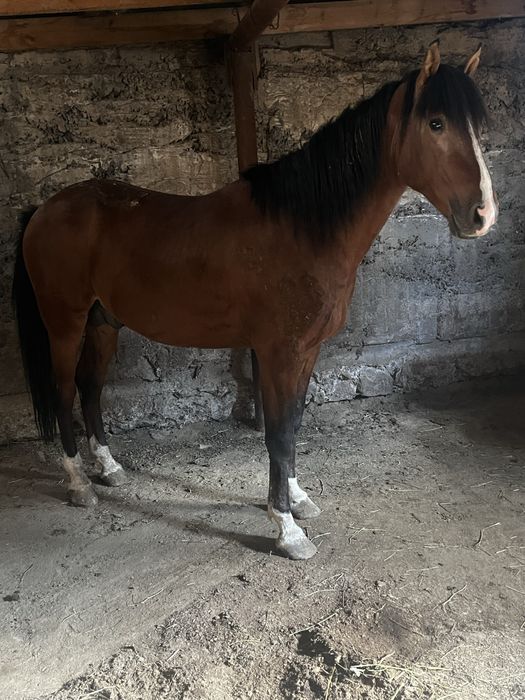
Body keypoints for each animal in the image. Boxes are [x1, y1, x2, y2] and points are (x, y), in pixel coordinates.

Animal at [12, 41, 497, 560]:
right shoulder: (280, 352)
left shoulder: (306, 350)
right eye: (436, 123)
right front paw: (287, 529)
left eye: (478, 126)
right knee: (64, 391)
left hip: (103, 322)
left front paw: (298, 500)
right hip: (64, 323)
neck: (302, 228)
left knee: (90, 389)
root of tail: (43, 209)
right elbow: (278, 433)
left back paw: (108, 469)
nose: (482, 214)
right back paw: (78, 483)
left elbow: (294, 424)